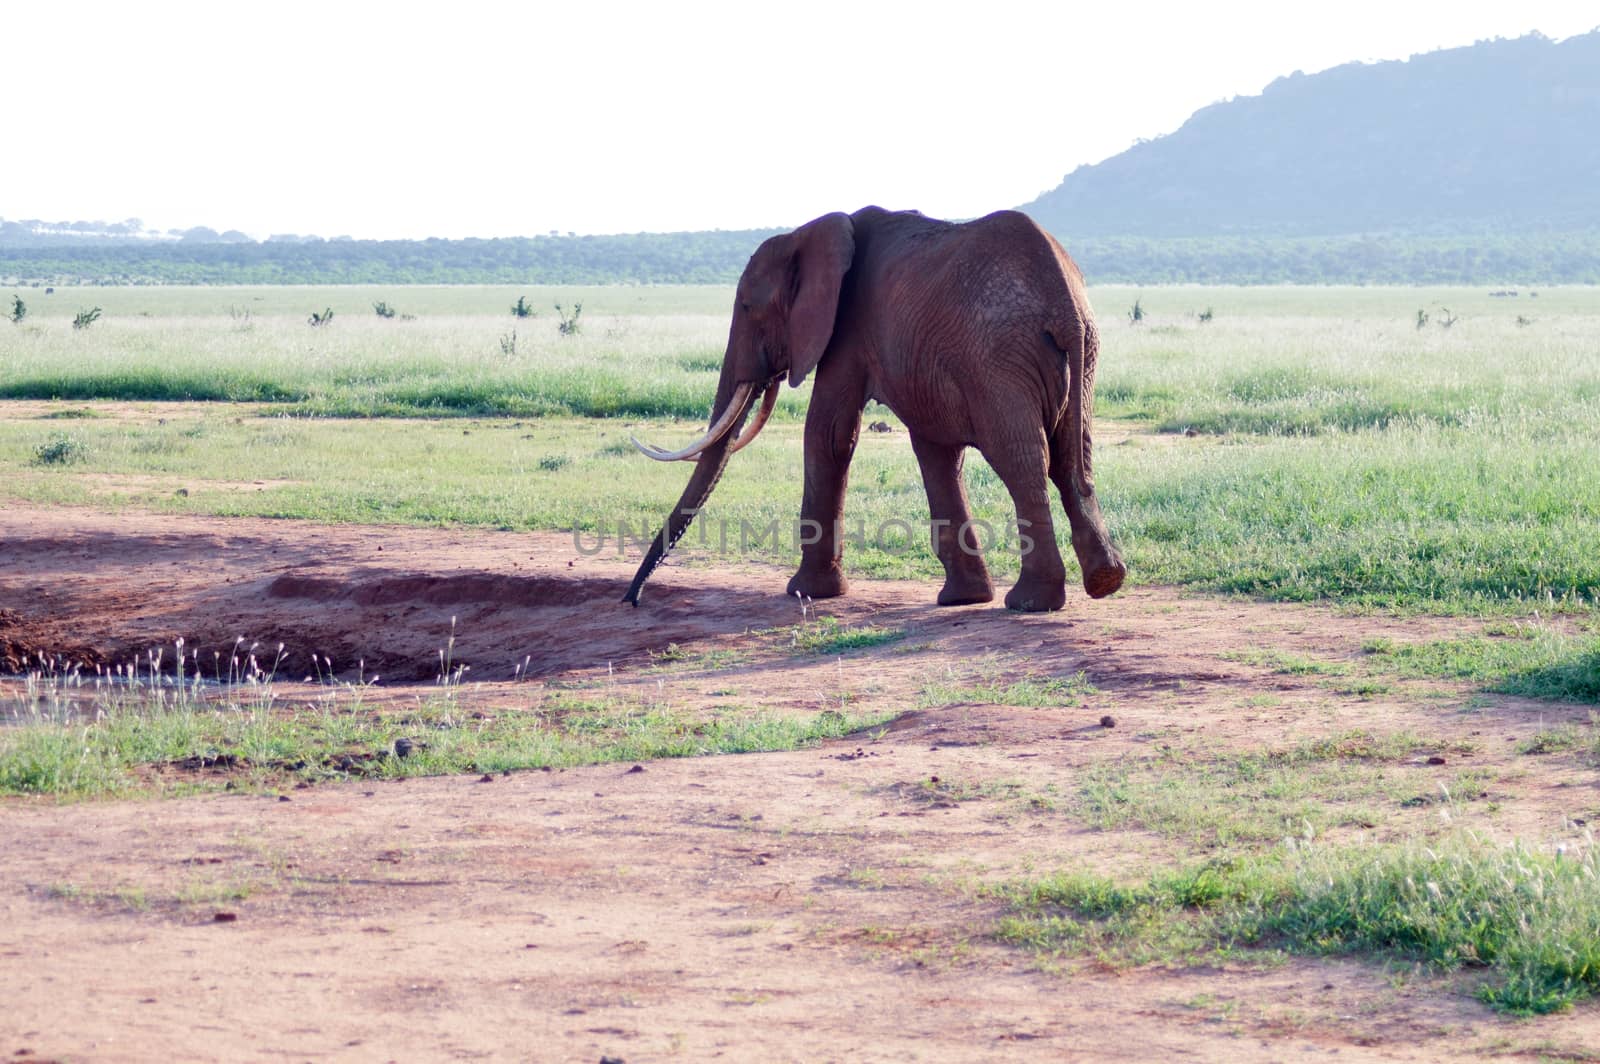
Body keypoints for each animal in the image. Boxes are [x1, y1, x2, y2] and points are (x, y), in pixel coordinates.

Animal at [620, 203, 1126, 611]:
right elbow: (937, 451)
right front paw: (963, 599)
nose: (632, 599)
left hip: (999, 356)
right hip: (1076, 357)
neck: (811, 232)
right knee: (1070, 457)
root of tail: (1062, 301)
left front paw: (805, 592)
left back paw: (1030, 603)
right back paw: (1104, 581)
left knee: (1022, 459)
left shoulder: (847, 328)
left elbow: (827, 434)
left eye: (746, 306)